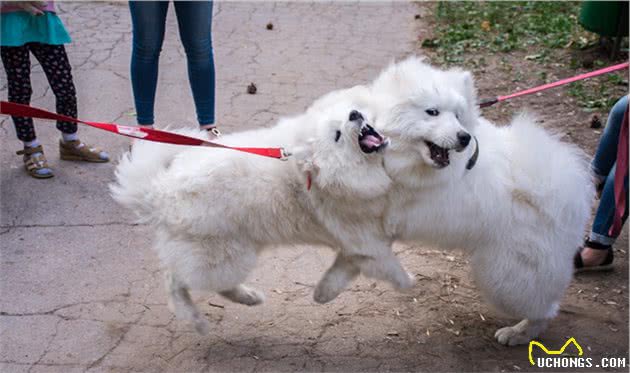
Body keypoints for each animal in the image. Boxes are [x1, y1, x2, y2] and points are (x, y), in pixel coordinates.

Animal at [110, 98, 414, 332]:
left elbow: (339, 273)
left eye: (343, 118)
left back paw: (248, 298)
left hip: (229, 254)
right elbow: (391, 267)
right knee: (177, 282)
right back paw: (198, 319)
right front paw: (409, 282)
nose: (354, 113)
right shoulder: (367, 242)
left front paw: (322, 294)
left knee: (194, 280)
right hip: (224, 257)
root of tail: (159, 193)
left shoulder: (357, 246)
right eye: (337, 135)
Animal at [366, 56, 596, 344]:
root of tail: (567, 193)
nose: (464, 137)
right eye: (432, 112)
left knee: (544, 310)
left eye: (457, 116)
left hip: (506, 278)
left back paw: (517, 334)